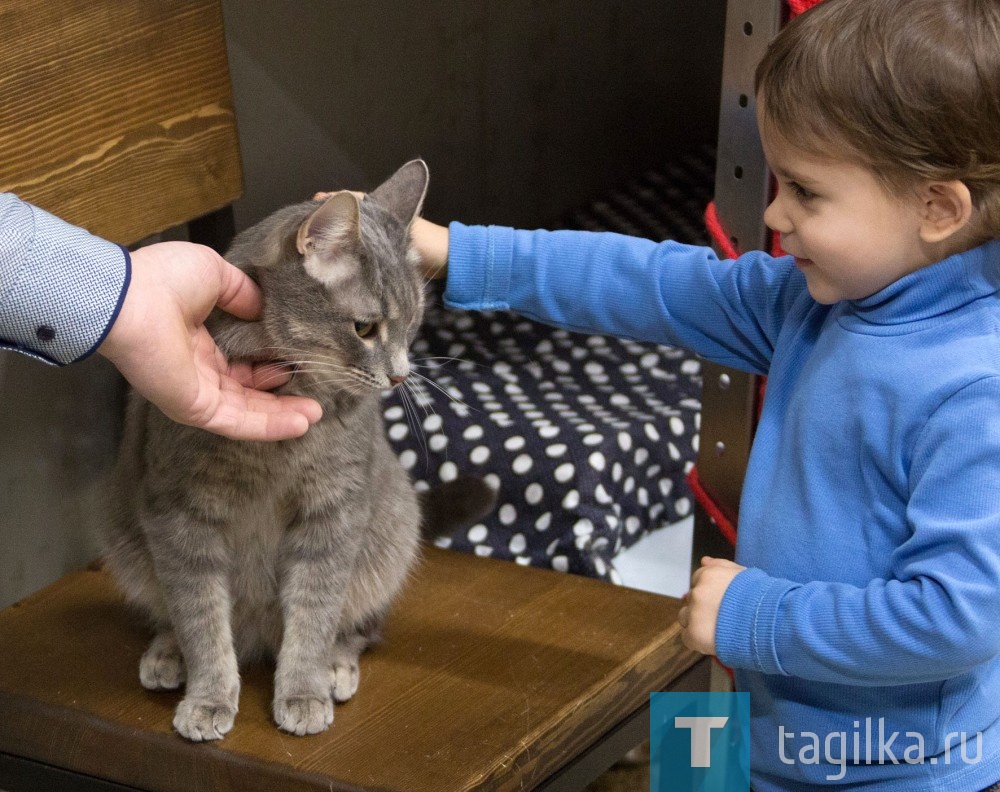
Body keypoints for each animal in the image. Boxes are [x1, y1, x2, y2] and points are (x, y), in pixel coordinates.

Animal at [102, 161, 492, 744]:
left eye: (415, 324)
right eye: (365, 328)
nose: (402, 374)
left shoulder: (335, 510)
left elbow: (314, 611)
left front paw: (303, 690)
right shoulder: (180, 512)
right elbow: (200, 616)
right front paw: (209, 698)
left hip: (391, 537)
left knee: (360, 628)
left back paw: (335, 666)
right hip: (125, 537)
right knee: (173, 615)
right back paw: (167, 654)